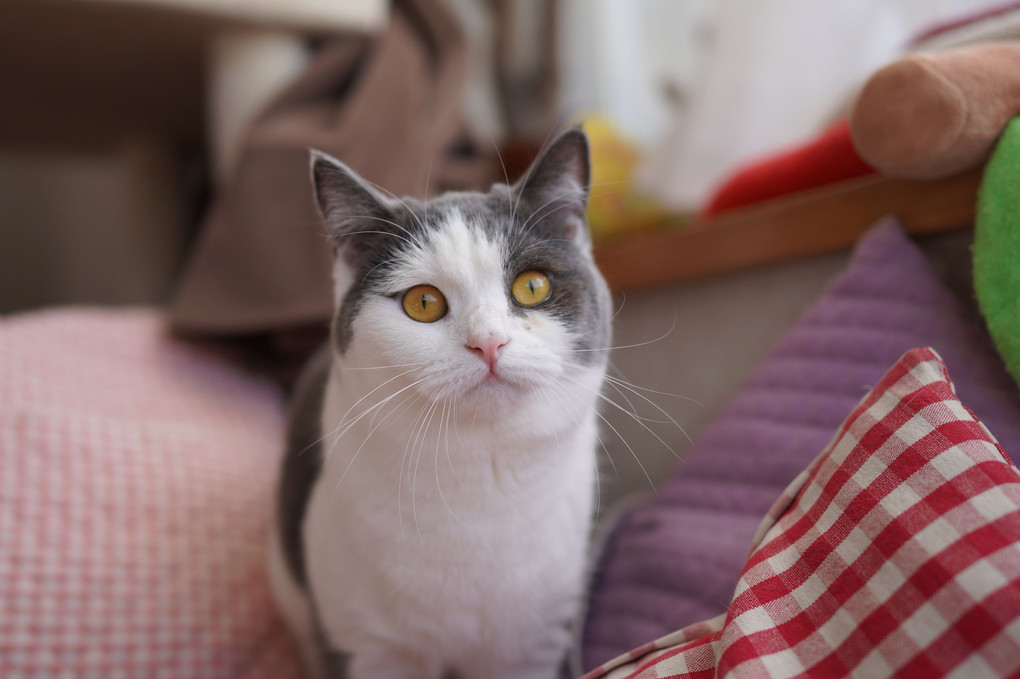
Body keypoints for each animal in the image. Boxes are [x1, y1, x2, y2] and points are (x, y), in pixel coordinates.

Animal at [267, 128, 607, 676]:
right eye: (422, 302)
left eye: (532, 286)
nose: (489, 342)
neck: (479, 483)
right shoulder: (366, 646)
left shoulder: (533, 645)